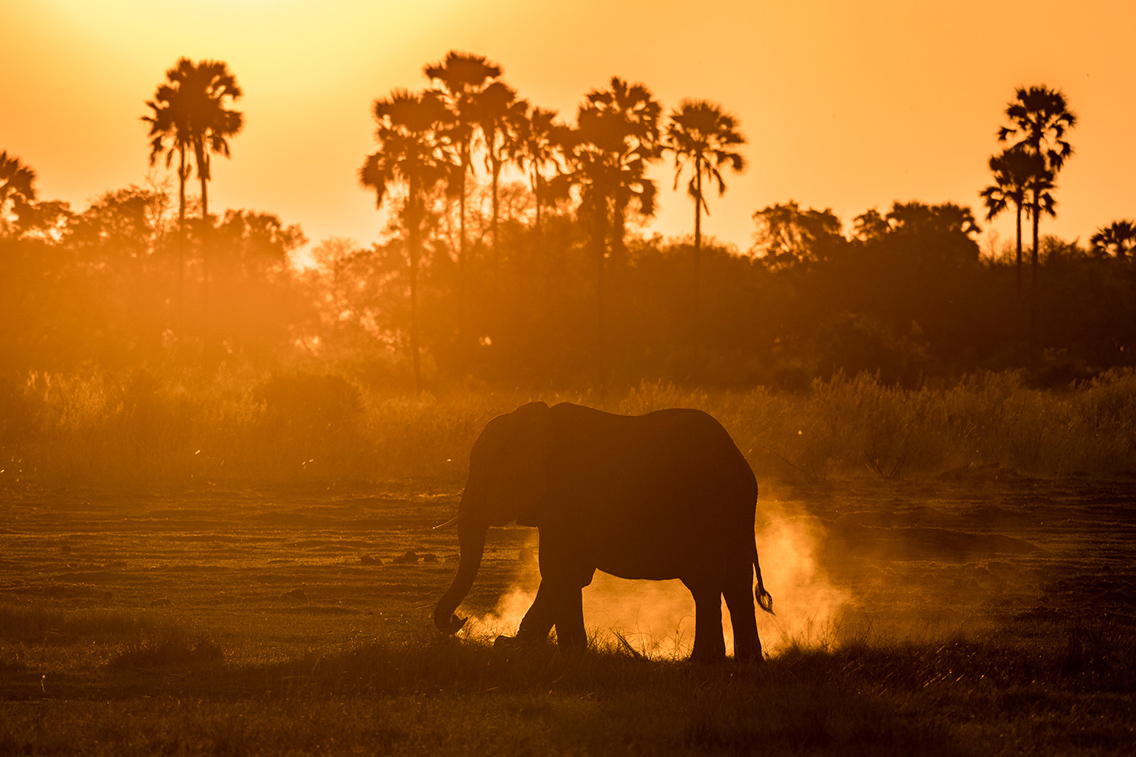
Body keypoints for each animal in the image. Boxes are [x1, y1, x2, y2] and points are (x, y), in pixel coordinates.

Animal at [433, 401, 774, 663]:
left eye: (483, 471)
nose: (458, 620)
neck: (532, 418)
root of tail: (739, 461)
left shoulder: (564, 497)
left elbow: (559, 571)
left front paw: (560, 654)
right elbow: (566, 574)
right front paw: (521, 648)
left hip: (704, 508)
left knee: (705, 582)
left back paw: (702, 663)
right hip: (736, 514)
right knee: (736, 582)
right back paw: (746, 663)